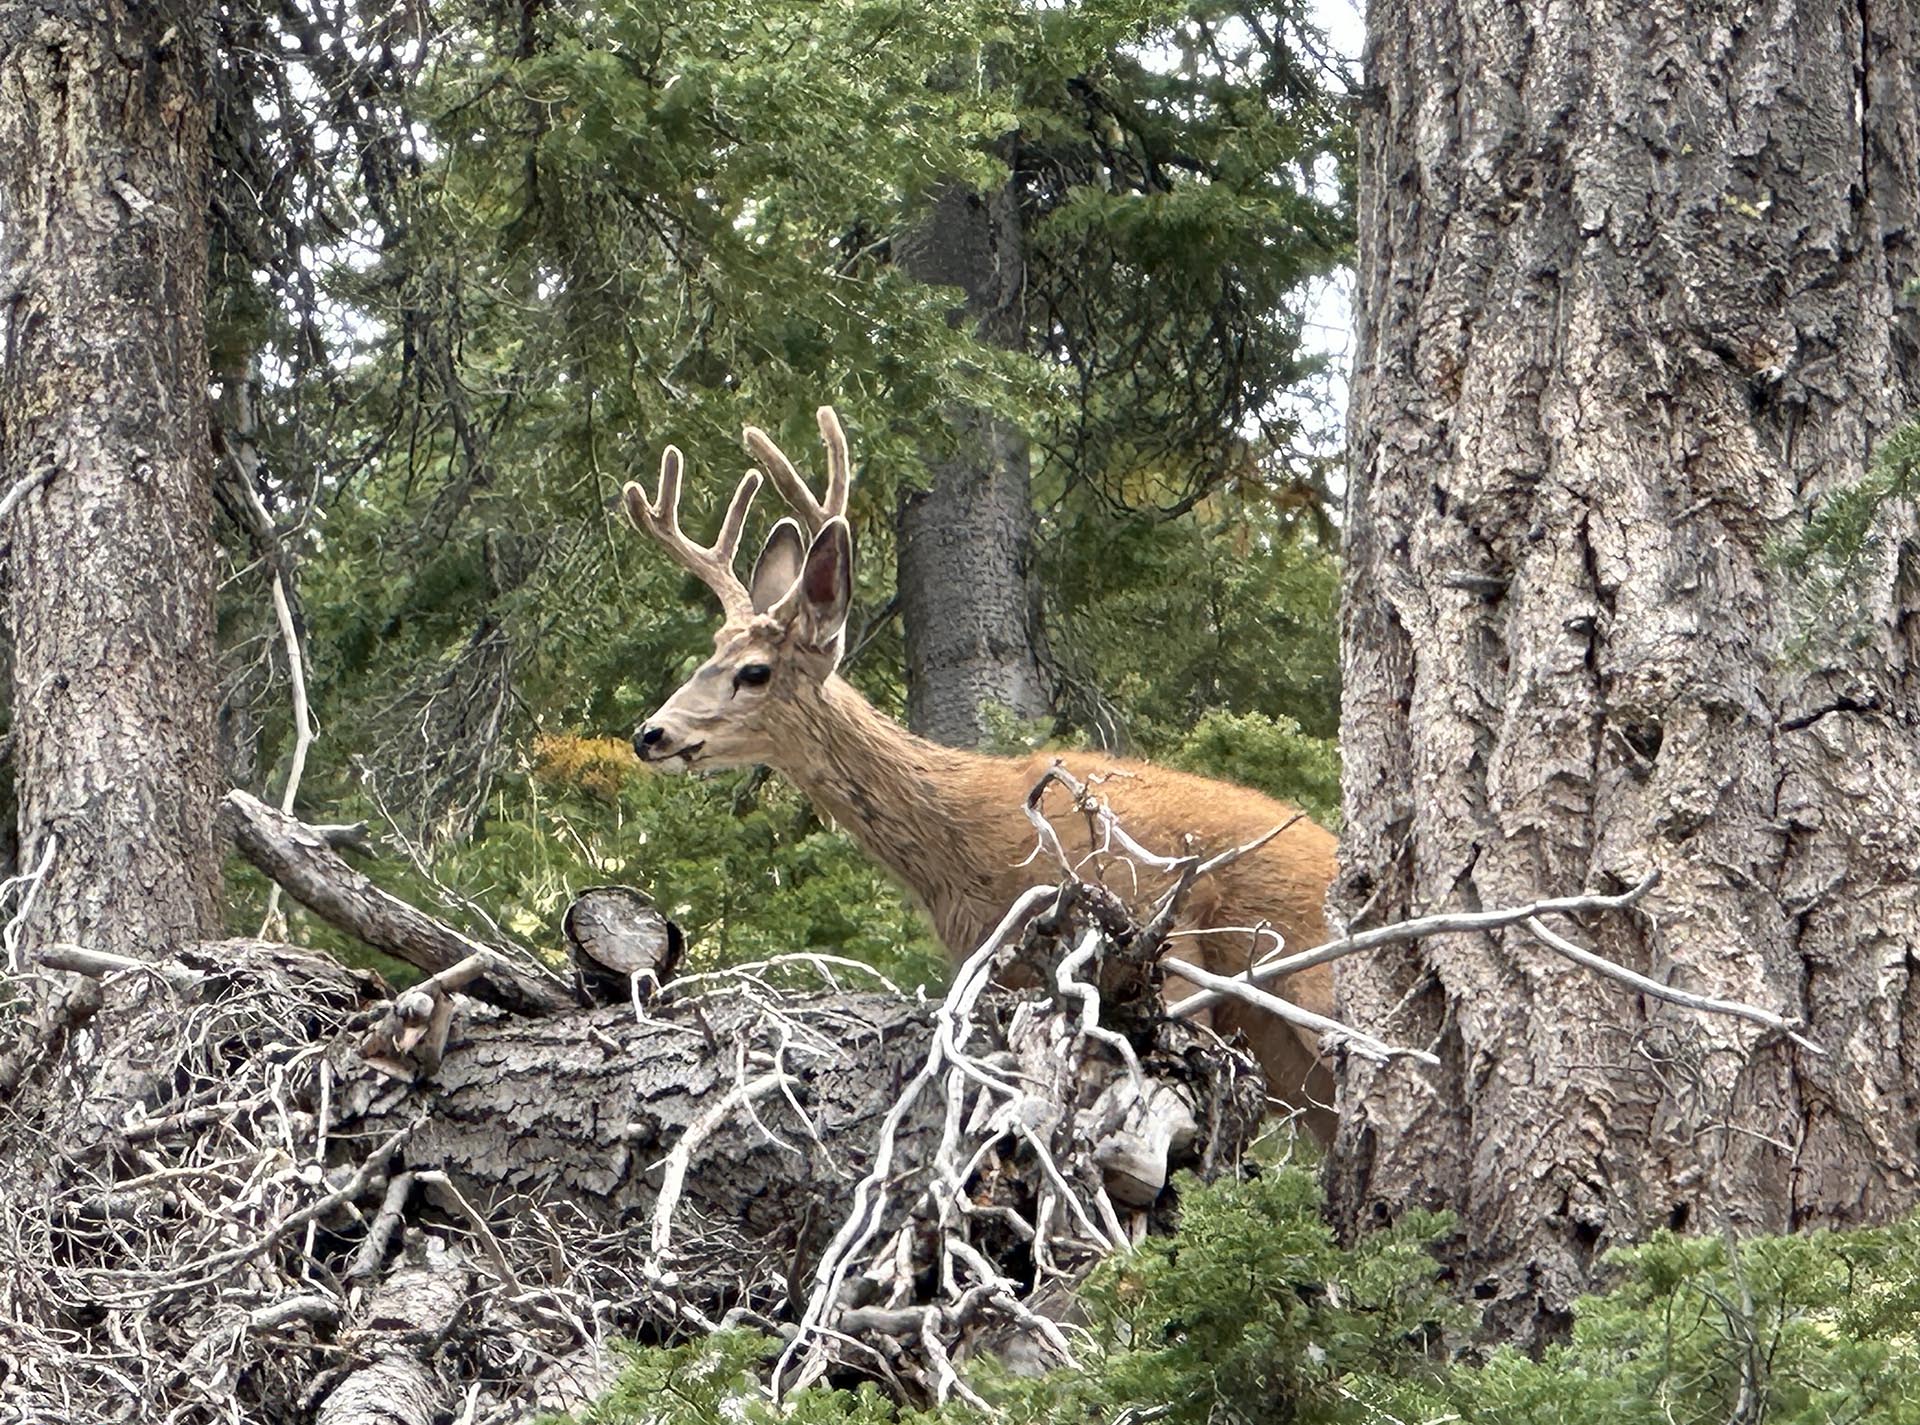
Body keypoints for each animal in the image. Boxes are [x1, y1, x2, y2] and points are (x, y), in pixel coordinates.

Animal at [623, 407, 1340, 1141]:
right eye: (710, 652)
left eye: (755, 671)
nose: (650, 733)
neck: (964, 846)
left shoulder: (1159, 942)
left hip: (1316, 990)